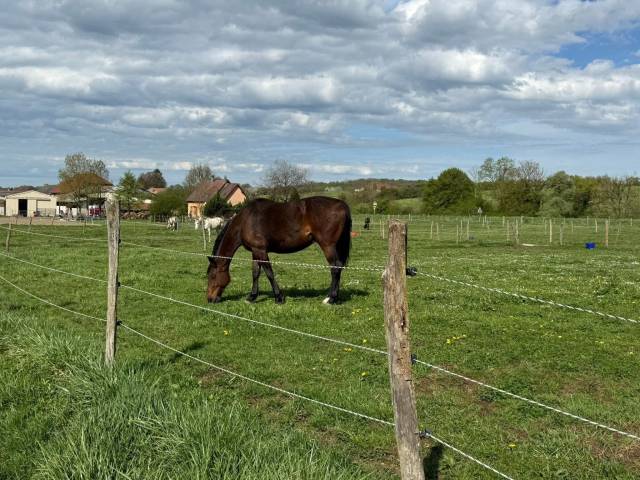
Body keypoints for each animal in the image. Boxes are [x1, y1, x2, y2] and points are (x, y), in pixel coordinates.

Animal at [206, 196, 351, 305]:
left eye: (212, 276)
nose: (210, 299)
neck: (245, 221)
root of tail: (341, 204)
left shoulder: (261, 251)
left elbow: (269, 273)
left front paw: (279, 297)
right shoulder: (255, 251)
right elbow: (255, 273)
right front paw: (252, 296)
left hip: (328, 245)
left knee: (335, 267)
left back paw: (330, 299)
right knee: (338, 267)